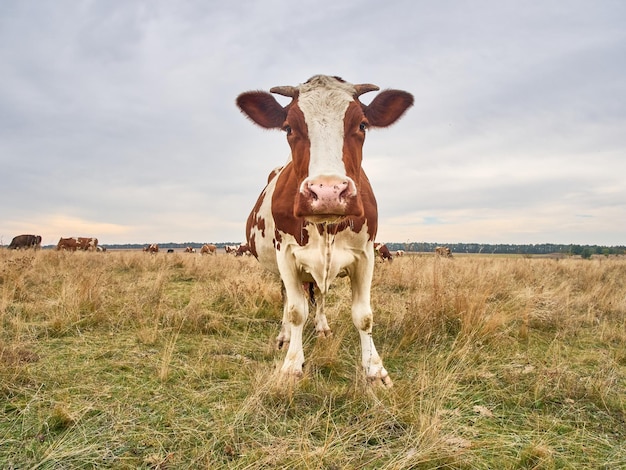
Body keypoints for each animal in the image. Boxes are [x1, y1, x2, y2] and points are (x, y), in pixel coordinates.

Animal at [236, 74, 412, 386]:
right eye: (288, 127)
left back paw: (322, 327)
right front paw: (292, 364)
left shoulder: (366, 254)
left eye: (362, 124)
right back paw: (285, 336)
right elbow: (296, 311)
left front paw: (375, 370)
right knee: (289, 300)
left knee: (318, 297)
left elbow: (363, 315)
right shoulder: (286, 254)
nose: (328, 191)